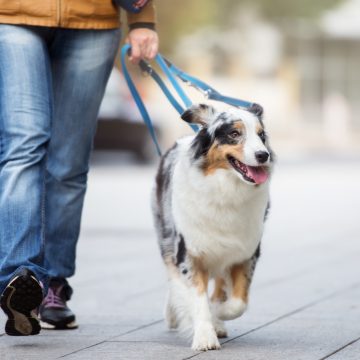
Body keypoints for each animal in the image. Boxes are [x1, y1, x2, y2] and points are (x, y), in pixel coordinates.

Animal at [151, 102, 272, 350]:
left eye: (262, 135)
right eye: (234, 134)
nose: (263, 155)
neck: (226, 189)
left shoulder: (246, 252)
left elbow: (238, 302)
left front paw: (218, 315)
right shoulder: (188, 252)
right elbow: (197, 299)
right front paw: (205, 337)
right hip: (166, 235)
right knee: (173, 278)